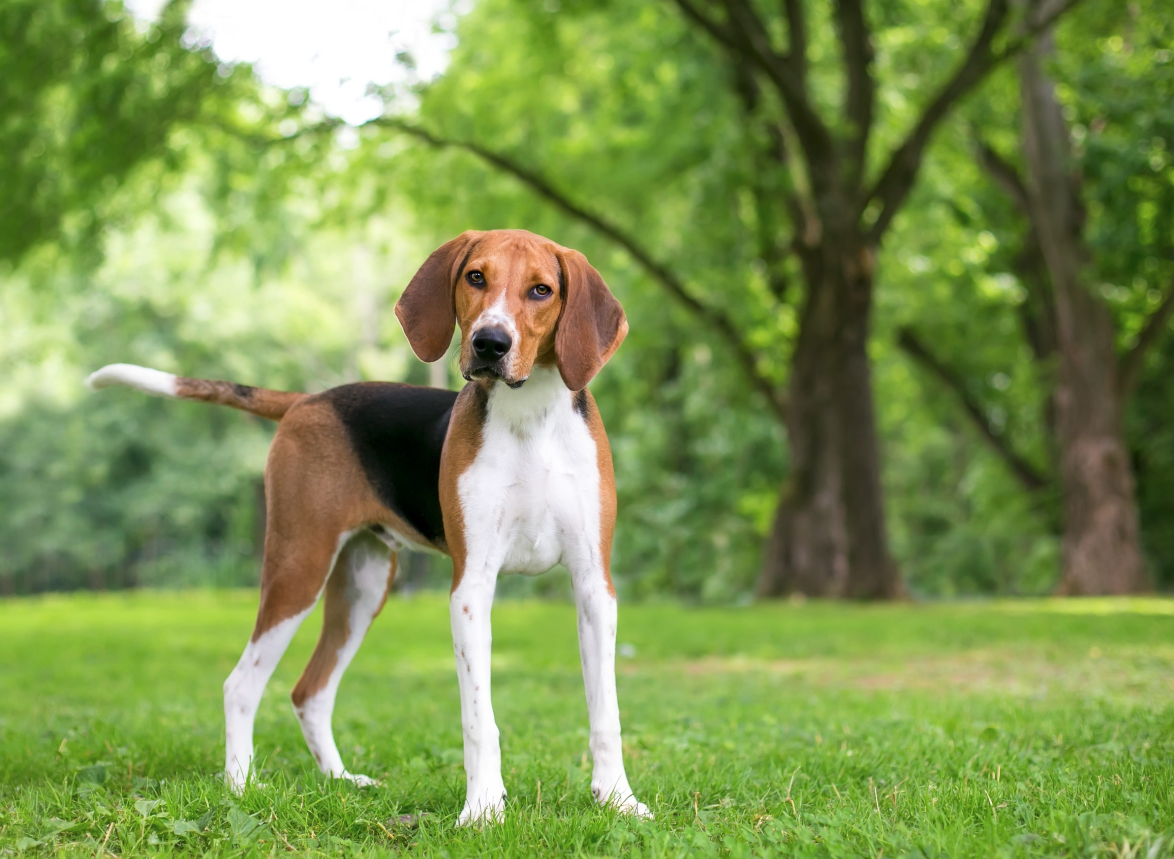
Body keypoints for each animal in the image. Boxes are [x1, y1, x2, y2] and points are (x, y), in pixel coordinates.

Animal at [85, 230, 648, 826]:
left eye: (541, 290)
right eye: (475, 276)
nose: (490, 344)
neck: (531, 419)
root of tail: (309, 399)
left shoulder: (594, 586)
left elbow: (606, 712)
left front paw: (618, 799)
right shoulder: (472, 589)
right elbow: (479, 718)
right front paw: (482, 811)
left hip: (362, 587)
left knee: (310, 692)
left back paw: (339, 782)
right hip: (299, 568)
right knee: (241, 684)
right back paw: (241, 788)